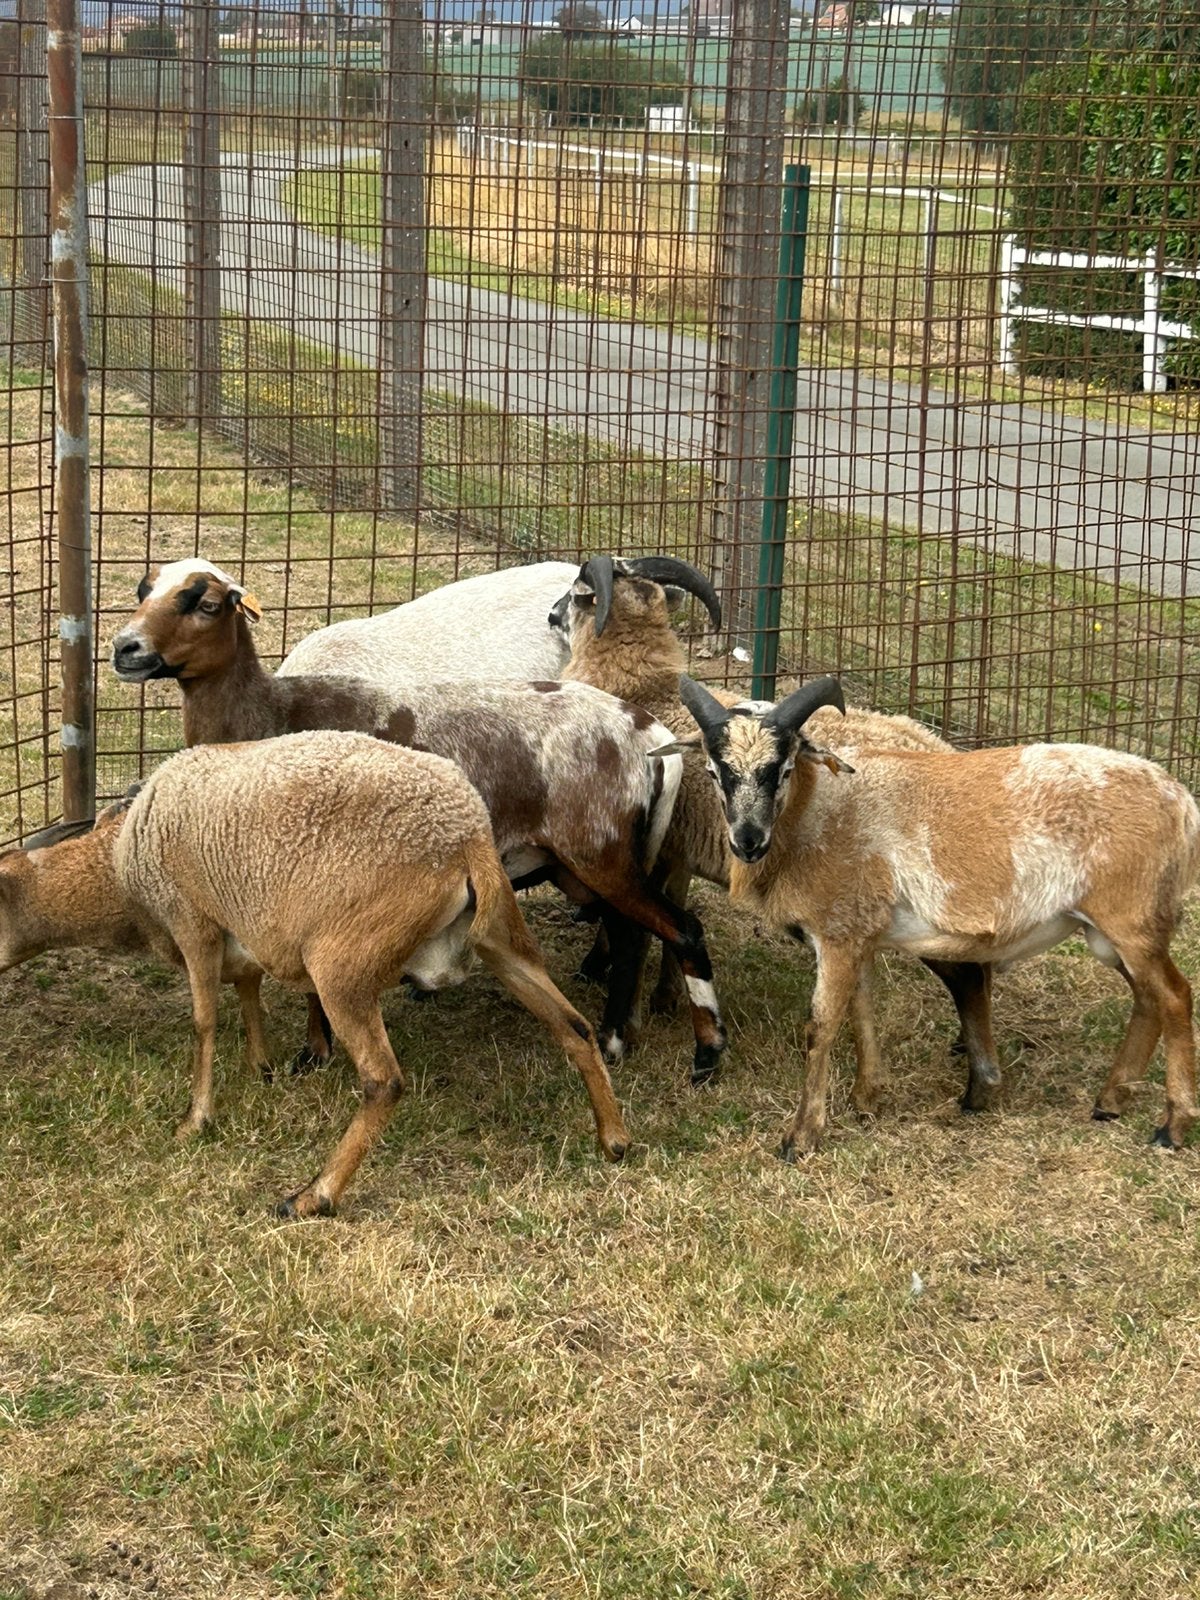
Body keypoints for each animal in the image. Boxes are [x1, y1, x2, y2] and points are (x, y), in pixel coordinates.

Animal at [111, 561, 727, 1082]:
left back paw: (690, 1051)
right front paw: (317, 1051)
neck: (272, 715)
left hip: (601, 852)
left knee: (678, 930)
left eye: (207, 603)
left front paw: (315, 1053)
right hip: (597, 859)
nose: (124, 648)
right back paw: (622, 1033)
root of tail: (648, 732)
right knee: (631, 933)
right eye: (143, 591)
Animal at [113, 730, 630, 1217]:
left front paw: (195, 1120)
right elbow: (245, 995)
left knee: (384, 1081)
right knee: (574, 1027)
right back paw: (614, 1138)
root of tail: (469, 842)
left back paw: (315, 1195)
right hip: (501, 939)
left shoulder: (192, 920)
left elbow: (204, 1023)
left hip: (343, 964)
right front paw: (260, 1068)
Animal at [679, 671, 1200, 1158]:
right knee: (1146, 999)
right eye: (715, 771)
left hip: (1131, 919)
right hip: (1114, 932)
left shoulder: (839, 931)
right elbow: (861, 1010)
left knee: (1175, 996)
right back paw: (1110, 1101)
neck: (818, 812)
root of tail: (1181, 801)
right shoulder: (862, 931)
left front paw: (801, 1137)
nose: (747, 841)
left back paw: (1171, 1126)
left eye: (783, 769)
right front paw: (867, 1098)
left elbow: (822, 1026)